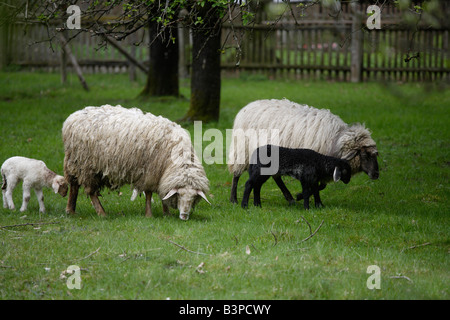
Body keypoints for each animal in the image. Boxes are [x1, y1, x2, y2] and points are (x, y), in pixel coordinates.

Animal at [61, 105, 211, 220]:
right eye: (179, 195)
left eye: (193, 198)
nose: (184, 216)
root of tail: (72, 118)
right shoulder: (150, 173)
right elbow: (149, 194)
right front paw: (149, 214)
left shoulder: (161, 175)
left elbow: (163, 194)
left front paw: (166, 213)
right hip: (86, 166)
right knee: (91, 191)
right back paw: (101, 213)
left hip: (75, 163)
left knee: (74, 186)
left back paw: (70, 210)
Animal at [229, 98, 380, 202]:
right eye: (365, 155)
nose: (376, 174)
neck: (336, 140)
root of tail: (249, 106)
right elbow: (317, 185)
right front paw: (301, 196)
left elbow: (322, 186)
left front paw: (300, 196)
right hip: (242, 149)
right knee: (236, 173)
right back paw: (234, 199)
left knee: (276, 177)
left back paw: (289, 197)